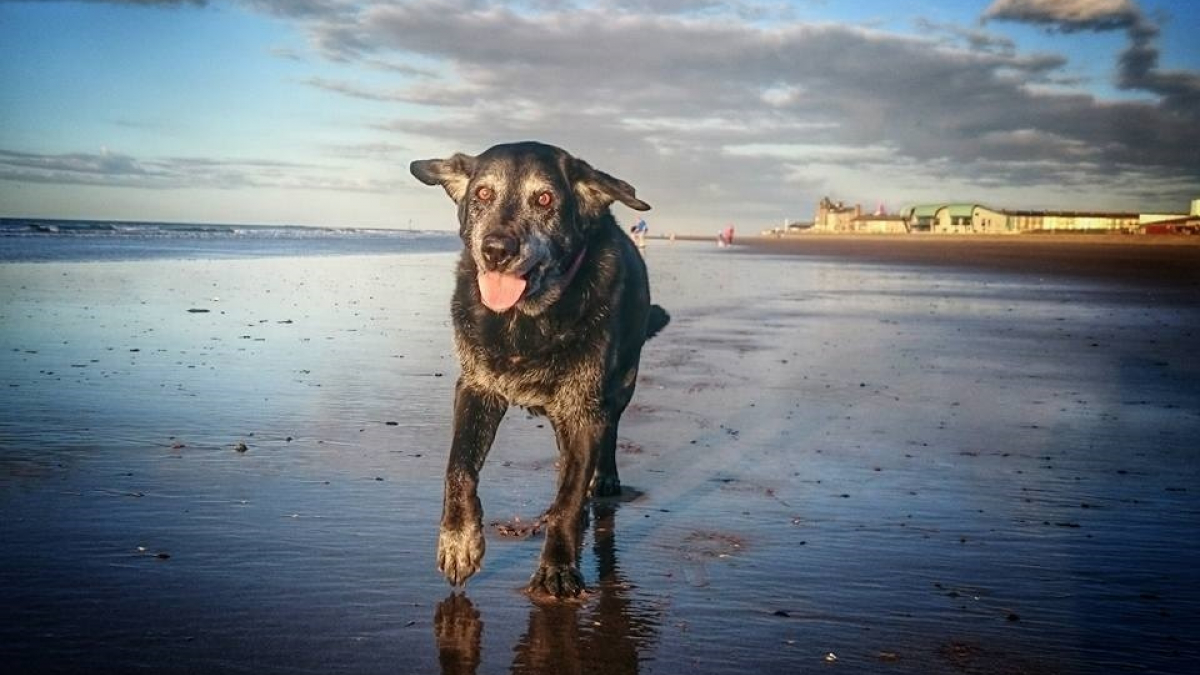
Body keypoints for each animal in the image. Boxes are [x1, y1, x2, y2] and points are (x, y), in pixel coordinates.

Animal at [412, 140, 672, 593]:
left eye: (545, 199)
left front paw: (558, 566)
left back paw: (604, 479)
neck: (526, 319)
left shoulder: (583, 410)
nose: (497, 251)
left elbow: (569, 497)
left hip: (622, 384)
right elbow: (459, 467)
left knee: (608, 433)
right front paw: (459, 540)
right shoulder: (476, 389)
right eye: (482, 194)